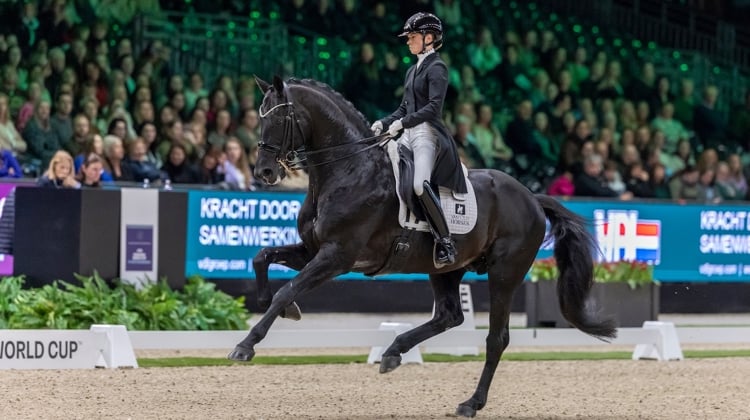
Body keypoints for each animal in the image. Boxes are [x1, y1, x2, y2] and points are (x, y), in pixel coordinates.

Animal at [229, 75, 616, 416]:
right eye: (258, 118)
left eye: (280, 117)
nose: (264, 173)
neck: (349, 170)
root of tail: (532, 197)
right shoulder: (314, 250)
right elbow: (262, 257)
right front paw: (282, 308)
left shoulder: (338, 255)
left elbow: (288, 288)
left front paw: (245, 345)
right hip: (445, 268)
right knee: (449, 315)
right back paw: (393, 352)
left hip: (504, 275)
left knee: (496, 339)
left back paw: (470, 403)